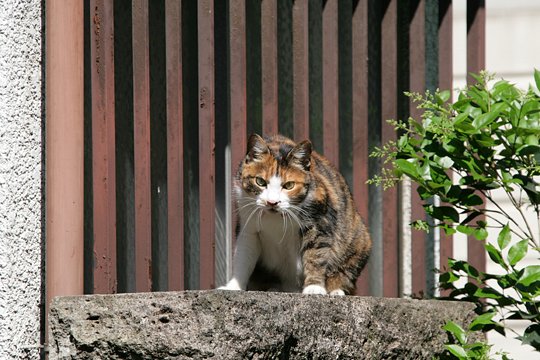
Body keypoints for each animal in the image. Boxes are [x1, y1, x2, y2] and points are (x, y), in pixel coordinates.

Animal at [219, 134, 372, 294]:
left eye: (289, 185)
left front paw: (314, 287)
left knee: (345, 273)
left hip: (359, 242)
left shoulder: (319, 222)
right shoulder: (248, 225)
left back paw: (336, 290)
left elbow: (315, 254)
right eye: (260, 181)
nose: (272, 202)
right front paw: (233, 287)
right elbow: (243, 257)